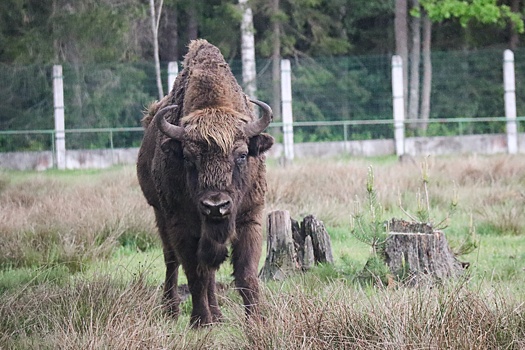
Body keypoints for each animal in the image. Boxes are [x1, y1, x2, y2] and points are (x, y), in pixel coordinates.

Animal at [135, 39, 274, 326]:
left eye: (242, 154)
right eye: (189, 158)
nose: (215, 206)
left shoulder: (250, 217)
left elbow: (246, 274)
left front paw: (256, 319)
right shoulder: (181, 224)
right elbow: (194, 273)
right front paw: (200, 322)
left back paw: (218, 314)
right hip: (160, 214)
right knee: (172, 261)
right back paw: (173, 310)